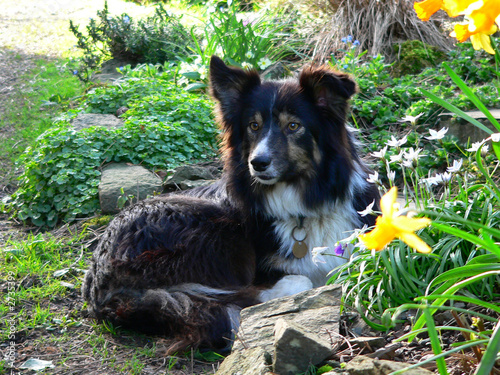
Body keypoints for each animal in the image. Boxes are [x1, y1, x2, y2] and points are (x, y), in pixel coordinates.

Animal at [82, 55, 378, 352]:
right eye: (253, 125)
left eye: (293, 126)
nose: (257, 163)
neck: (305, 205)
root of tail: (98, 281)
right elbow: (298, 279)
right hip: (211, 228)